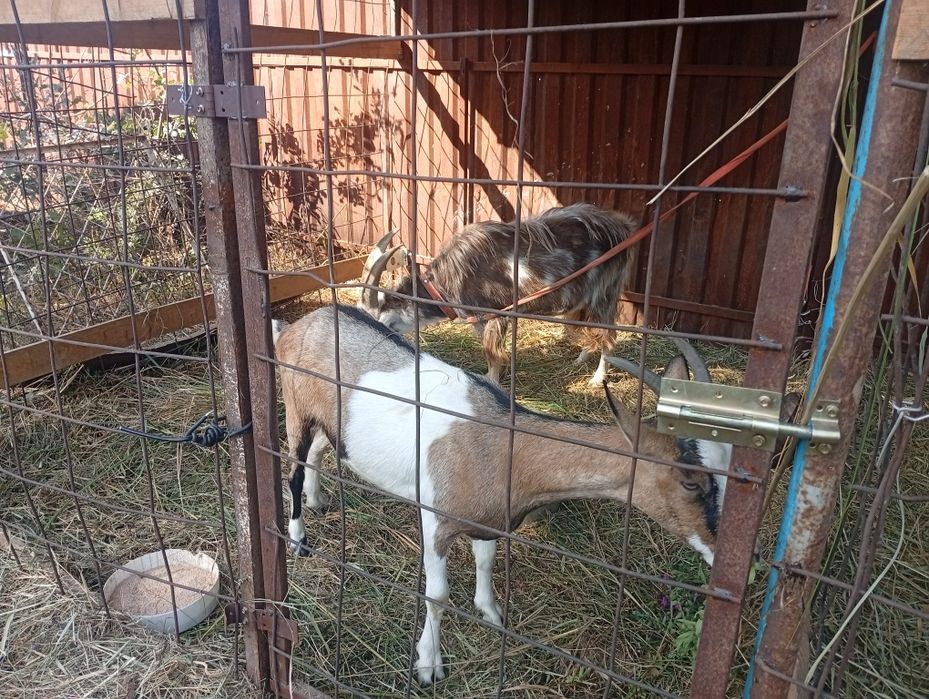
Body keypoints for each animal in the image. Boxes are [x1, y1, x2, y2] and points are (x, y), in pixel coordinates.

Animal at [273, 304, 730, 685]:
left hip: (334, 425)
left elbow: (486, 562)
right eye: (690, 481)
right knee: (293, 469)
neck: (504, 447)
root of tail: (297, 325)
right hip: (295, 408)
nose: (716, 549)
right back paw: (299, 537)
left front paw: (491, 613)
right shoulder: (435, 520)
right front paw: (428, 665)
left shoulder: (488, 520)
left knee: (321, 450)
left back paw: (318, 499)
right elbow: (437, 595)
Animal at [358, 203, 635, 385]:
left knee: (609, 335)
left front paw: (490, 380)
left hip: (605, 293)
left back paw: (597, 379)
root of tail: (623, 228)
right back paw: (581, 358)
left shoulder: (493, 313)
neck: (444, 284)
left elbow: (491, 353)